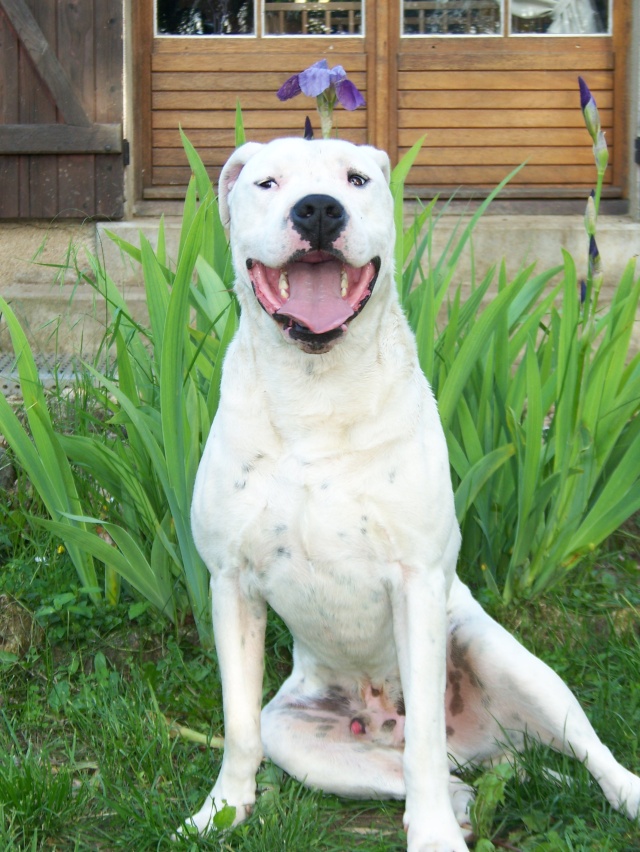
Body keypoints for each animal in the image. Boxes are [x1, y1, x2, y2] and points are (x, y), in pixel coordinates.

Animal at [188, 136, 636, 848]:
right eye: (266, 182)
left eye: (357, 179)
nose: (319, 209)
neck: (316, 391)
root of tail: (481, 743)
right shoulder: (230, 584)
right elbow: (236, 726)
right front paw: (222, 811)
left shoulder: (417, 583)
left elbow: (422, 739)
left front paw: (431, 839)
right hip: (299, 737)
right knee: (423, 770)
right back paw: (464, 804)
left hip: (506, 660)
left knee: (576, 749)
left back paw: (619, 793)